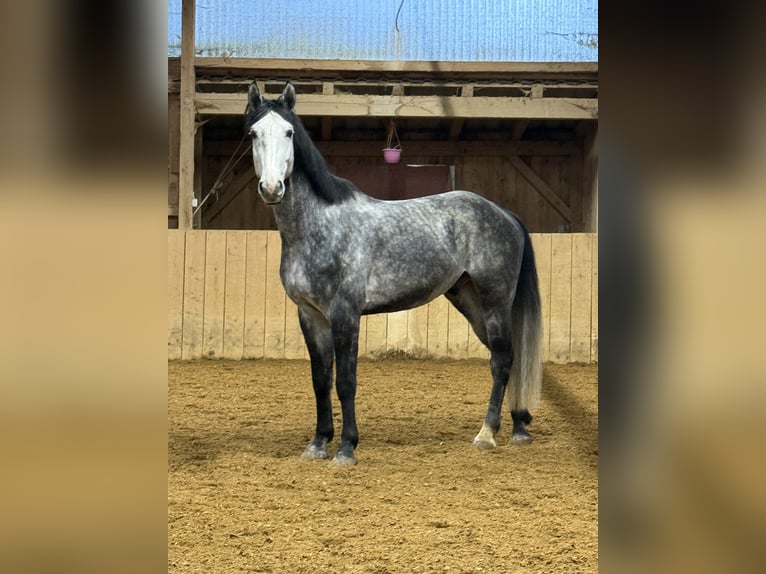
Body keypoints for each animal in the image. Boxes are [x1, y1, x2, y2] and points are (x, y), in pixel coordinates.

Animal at [244, 82, 543, 465]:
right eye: (254, 133)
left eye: (289, 132)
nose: (271, 188)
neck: (319, 226)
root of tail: (505, 214)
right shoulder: (310, 315)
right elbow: (320, 379)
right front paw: (318, 443)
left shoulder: (345, 313)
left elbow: (346, 381)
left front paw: (347, 448)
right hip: (469, 299)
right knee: (506, 357)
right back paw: (519, 426)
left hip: (495, 300)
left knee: (503, 360)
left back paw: (487, 434)